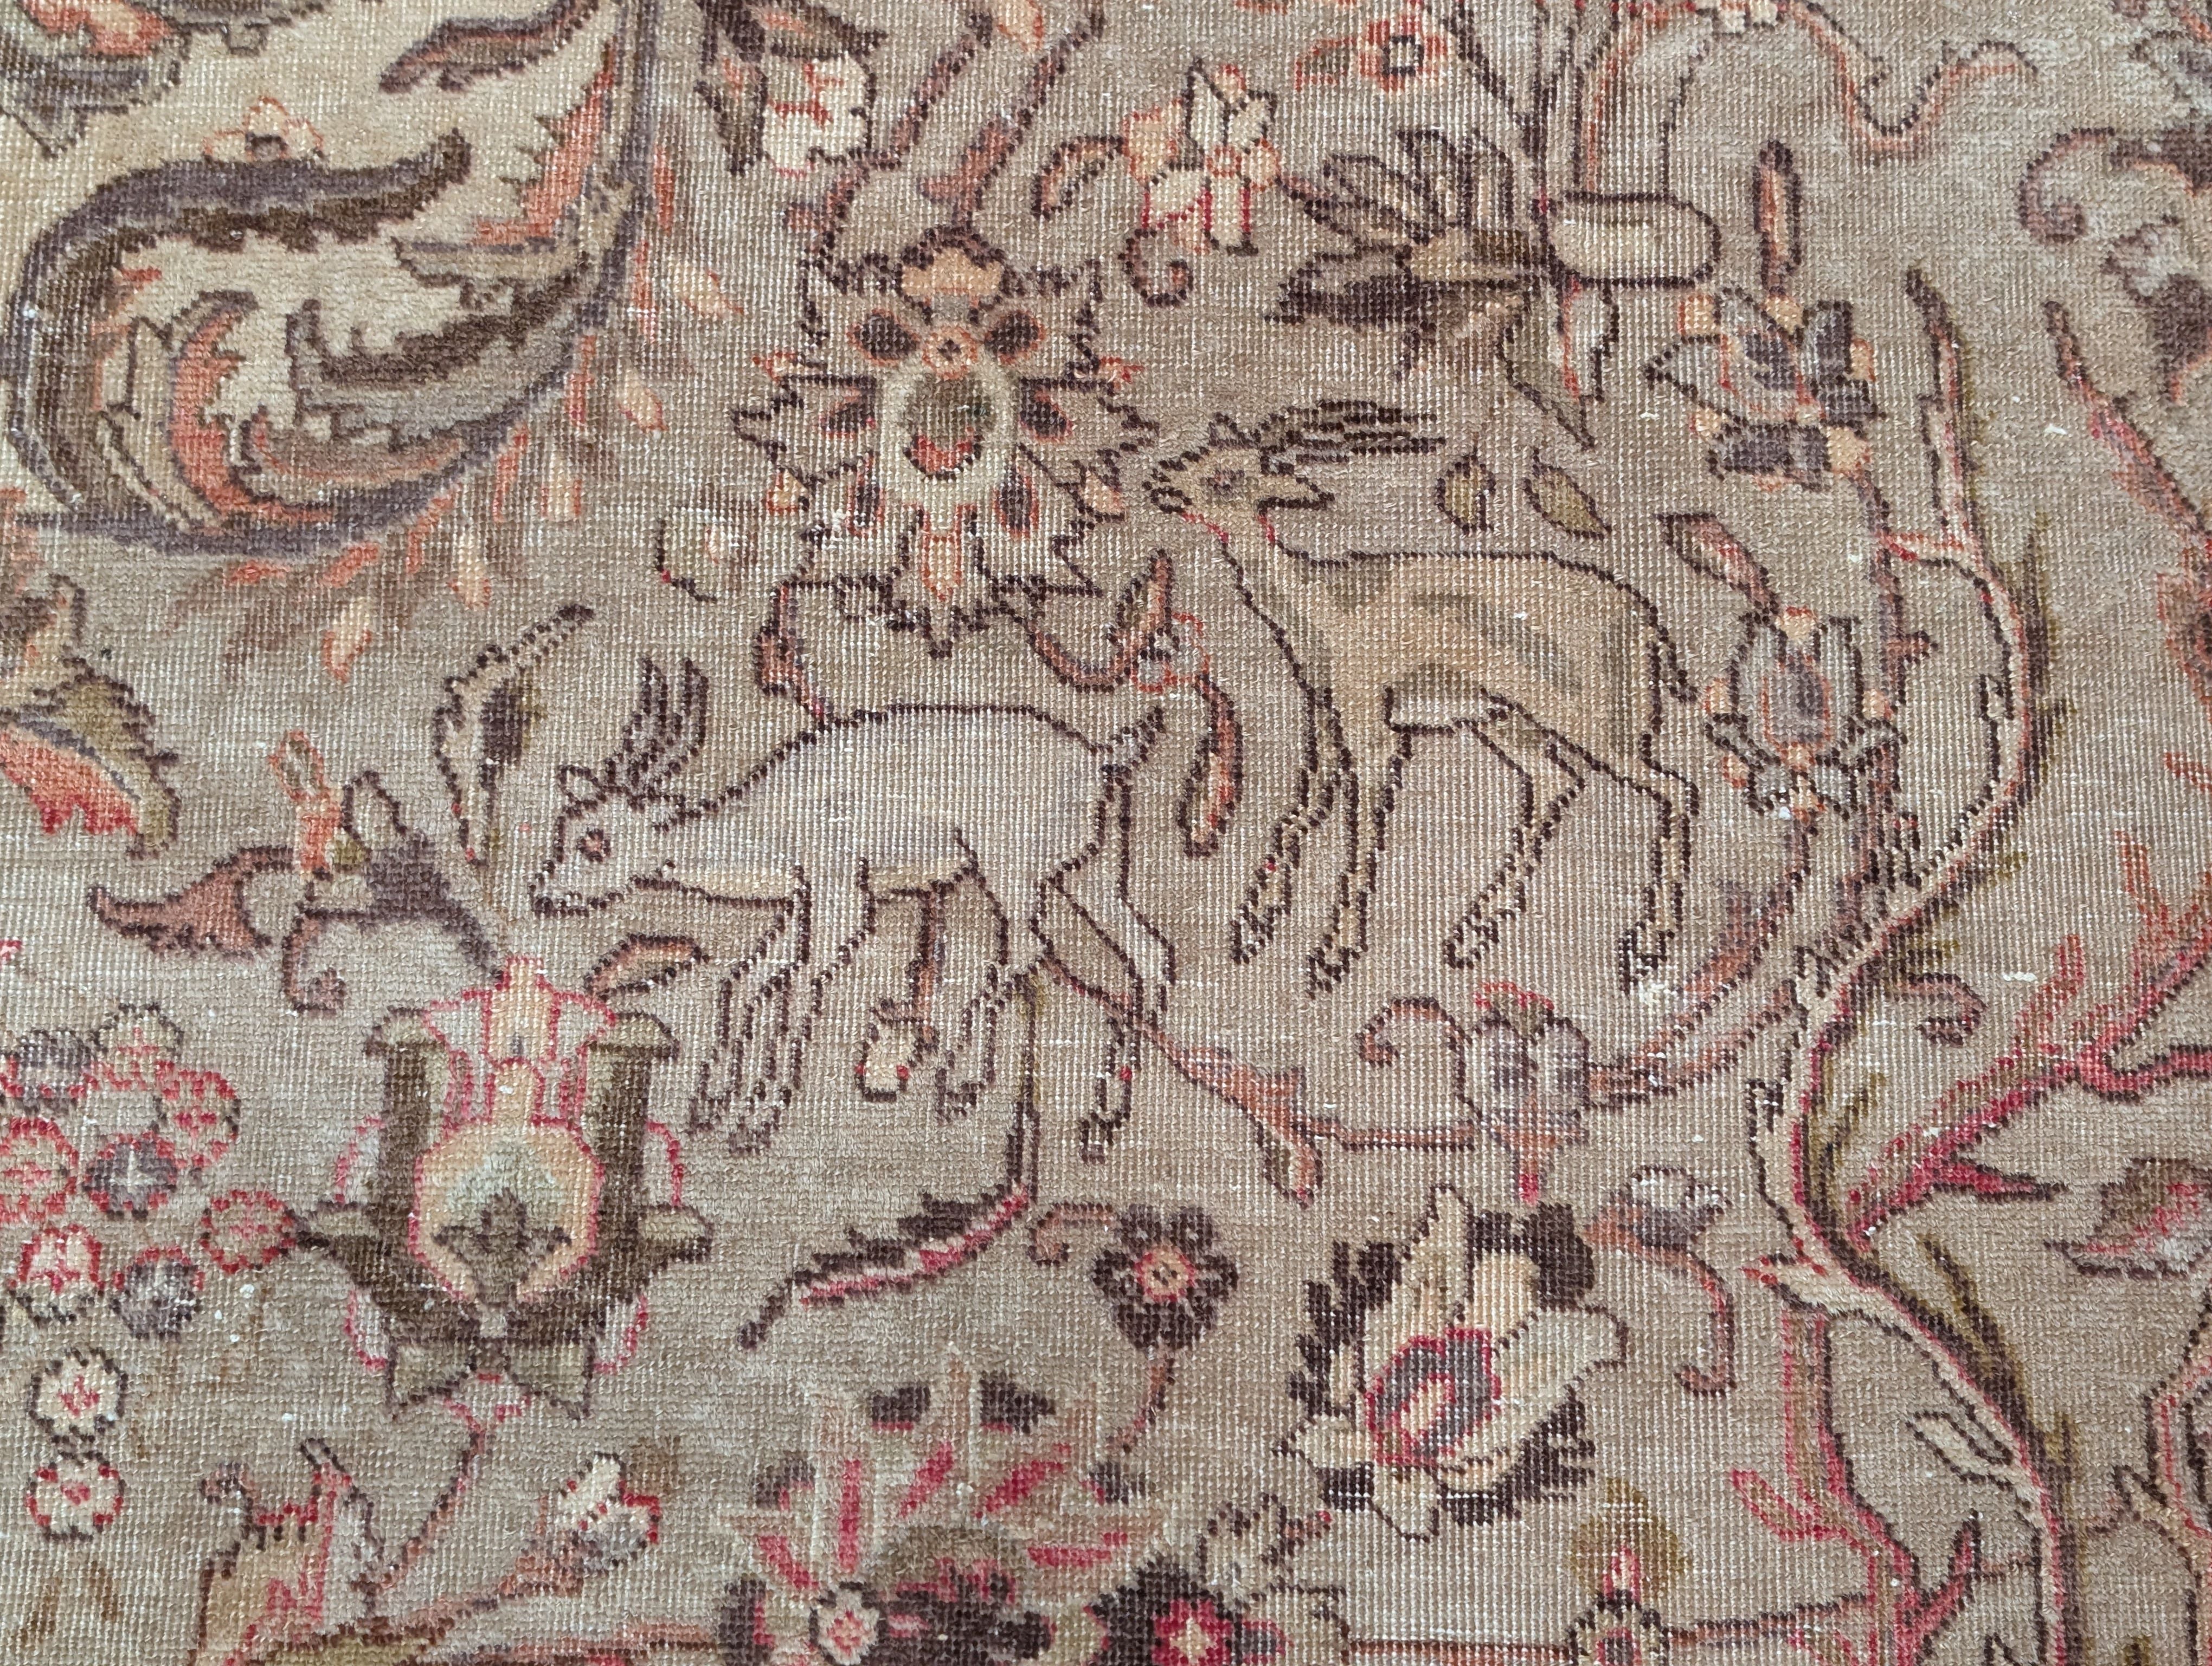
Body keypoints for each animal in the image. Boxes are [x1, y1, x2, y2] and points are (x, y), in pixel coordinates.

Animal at [533, 661, 1175, 1135]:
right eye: (563, 827)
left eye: (595, 839)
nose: (542, 895)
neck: (770, 823)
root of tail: (1103, 760)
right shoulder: (803, 902)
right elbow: (746, 979)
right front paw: (712, 1104)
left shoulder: (843, 893)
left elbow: (797, 984)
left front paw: (757, 1116)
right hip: (1091, 874)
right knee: (1149, 951)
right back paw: (1103, 1115)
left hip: (1010, 870)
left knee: (1028, 948)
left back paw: (958, 1085)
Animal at [1148, 402, 1697, 991]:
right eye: (1200, 455)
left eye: (1228, 477)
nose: (1161, 483)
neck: (1323, 606)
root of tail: (1648, 625)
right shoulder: (1325, 717)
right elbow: (1301, 813)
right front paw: (1255, 924)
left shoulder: (1372, 726)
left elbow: (1361, 834)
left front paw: (1333, 953)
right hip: (1506, 721)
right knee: (1558, 782)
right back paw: (1470, 934)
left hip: (1602, 724)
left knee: (1677, 789)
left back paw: (1645, 947)